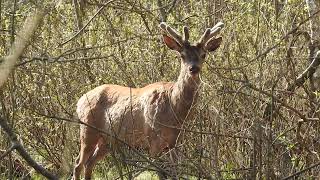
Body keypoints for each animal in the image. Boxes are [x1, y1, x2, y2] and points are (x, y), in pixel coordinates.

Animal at [72, 21, 222, 180]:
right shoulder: (153, 139)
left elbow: (175, 172)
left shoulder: (175, 142)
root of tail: (79, 101)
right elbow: (161, 173)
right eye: (182, 55)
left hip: (107, 140)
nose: (193, 68)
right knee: (78, 164)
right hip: (88, 130)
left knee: (89, 163)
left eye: (203, 55)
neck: (174, 110)